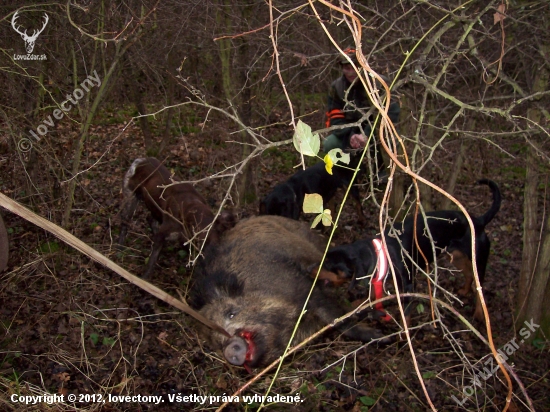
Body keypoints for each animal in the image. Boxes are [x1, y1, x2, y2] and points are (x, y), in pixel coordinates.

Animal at [326, 179, 502, 324]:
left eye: (329, 266)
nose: (314, 271)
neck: (380, 253)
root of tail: (478, 221)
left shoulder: (409, 285)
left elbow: (406, 313)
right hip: (457, 257)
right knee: (469, 275)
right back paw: (464, 291)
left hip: (478, 260)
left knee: (480, 290)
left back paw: (479, 314)